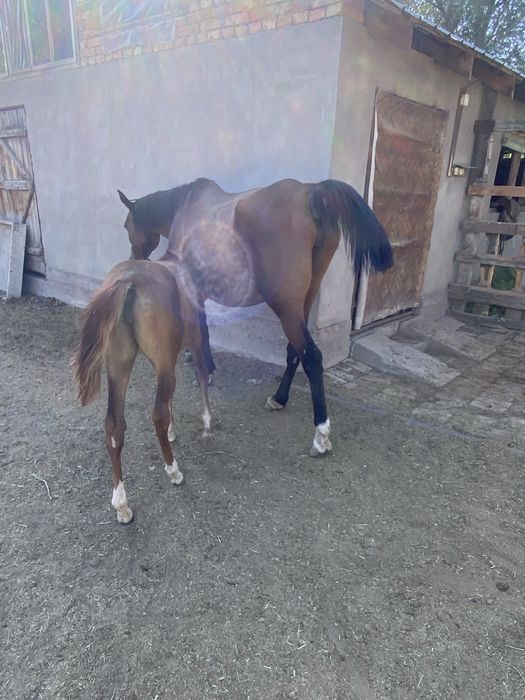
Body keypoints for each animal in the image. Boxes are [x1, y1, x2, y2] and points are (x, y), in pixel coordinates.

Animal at [72, 256, 211, 524]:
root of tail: (128, 281)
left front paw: (173, 431)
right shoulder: (196, 342)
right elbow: (202, 377)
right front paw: (208, 421)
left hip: (118, 364)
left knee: (114, 425)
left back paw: (121, 504)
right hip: (159, 362)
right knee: (157, 414)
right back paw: (173, 471)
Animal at [117, 177, 393, 456]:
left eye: (126, 225)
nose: (133, 258)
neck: (186, 207)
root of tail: (311, 192)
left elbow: (202, 331)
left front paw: (204, 369)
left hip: (286, 307)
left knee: (311, 357)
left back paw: (321, 433)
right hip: (303, 302)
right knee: (294, 351)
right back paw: (279, 398)